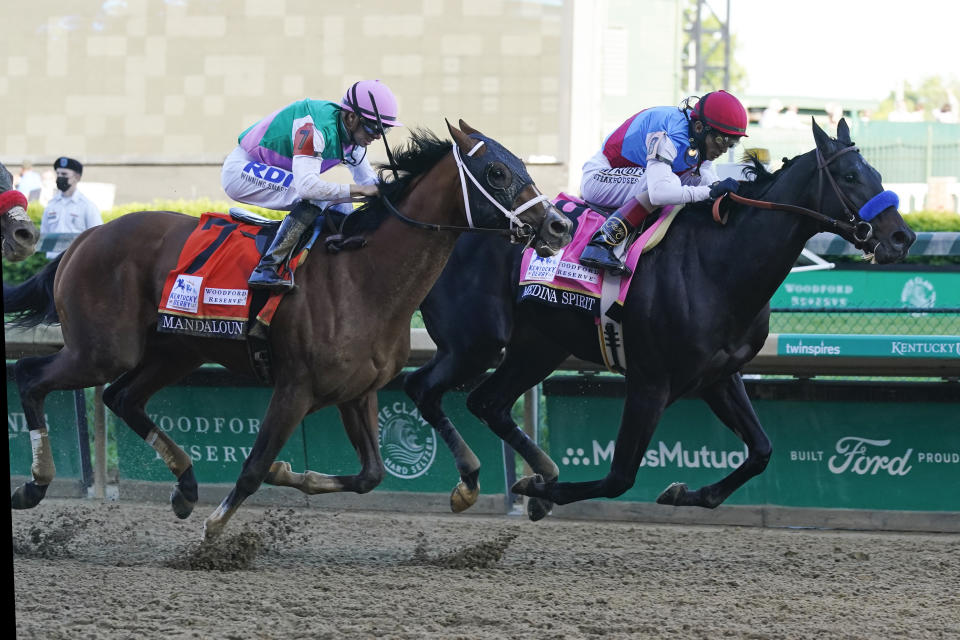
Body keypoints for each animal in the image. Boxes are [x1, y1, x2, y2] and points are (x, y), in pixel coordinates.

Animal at [3, 121, 572, 540]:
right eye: (495, 171)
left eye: (521, 164)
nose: (558, 226)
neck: (363, 277)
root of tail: (84, 239)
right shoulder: (295, 386)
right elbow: (254, 465)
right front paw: (215, 531)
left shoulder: (358, 392)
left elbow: (370, 474)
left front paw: (283, 476)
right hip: (104, 348)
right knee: (31, 375)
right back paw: (34, 485)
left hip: (174, 351)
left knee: (121, 397)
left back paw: (185, 487)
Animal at [404, 119, 916, 520]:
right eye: (850, 175)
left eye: (876, 173)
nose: (902, 237)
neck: (718, 264)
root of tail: (445, 228)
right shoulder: (650, 383)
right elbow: (619, 477)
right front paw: (536, 489)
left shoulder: (719, 376)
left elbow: (762, 451)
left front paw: (684, 491)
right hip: (474, 342)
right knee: (421, 387)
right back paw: (474, 481)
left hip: (537, 346)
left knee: (487, 402)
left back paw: (534, 473)